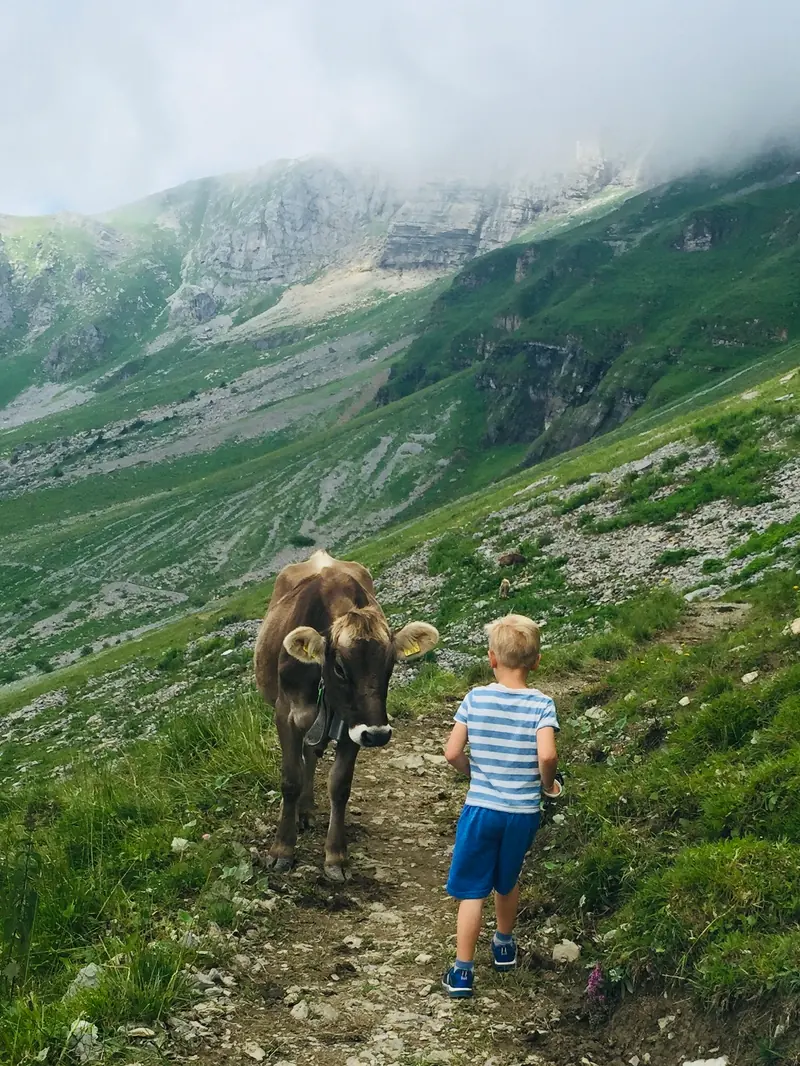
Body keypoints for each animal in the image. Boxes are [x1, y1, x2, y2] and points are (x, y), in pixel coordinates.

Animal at [254, 550, 439, 881]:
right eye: (339, 667)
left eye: (390, 664)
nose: (378, 736)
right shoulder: (286, 713)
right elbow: (290, 779)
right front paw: (281, 850)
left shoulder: (355, 725)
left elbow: (340, 785)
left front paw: (336, 857)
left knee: (312, 754)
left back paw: (307, 810)